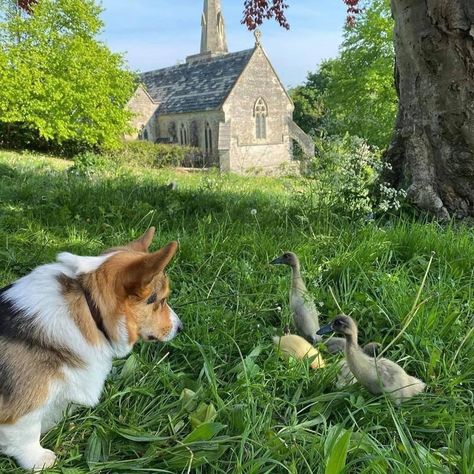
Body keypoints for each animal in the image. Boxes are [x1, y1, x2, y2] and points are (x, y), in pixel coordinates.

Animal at [0, 229, 182, 470]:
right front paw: (40, 460)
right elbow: (26, 434)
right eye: (161, 300)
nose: (181, 327)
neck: (87, 307)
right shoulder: (24, 409)